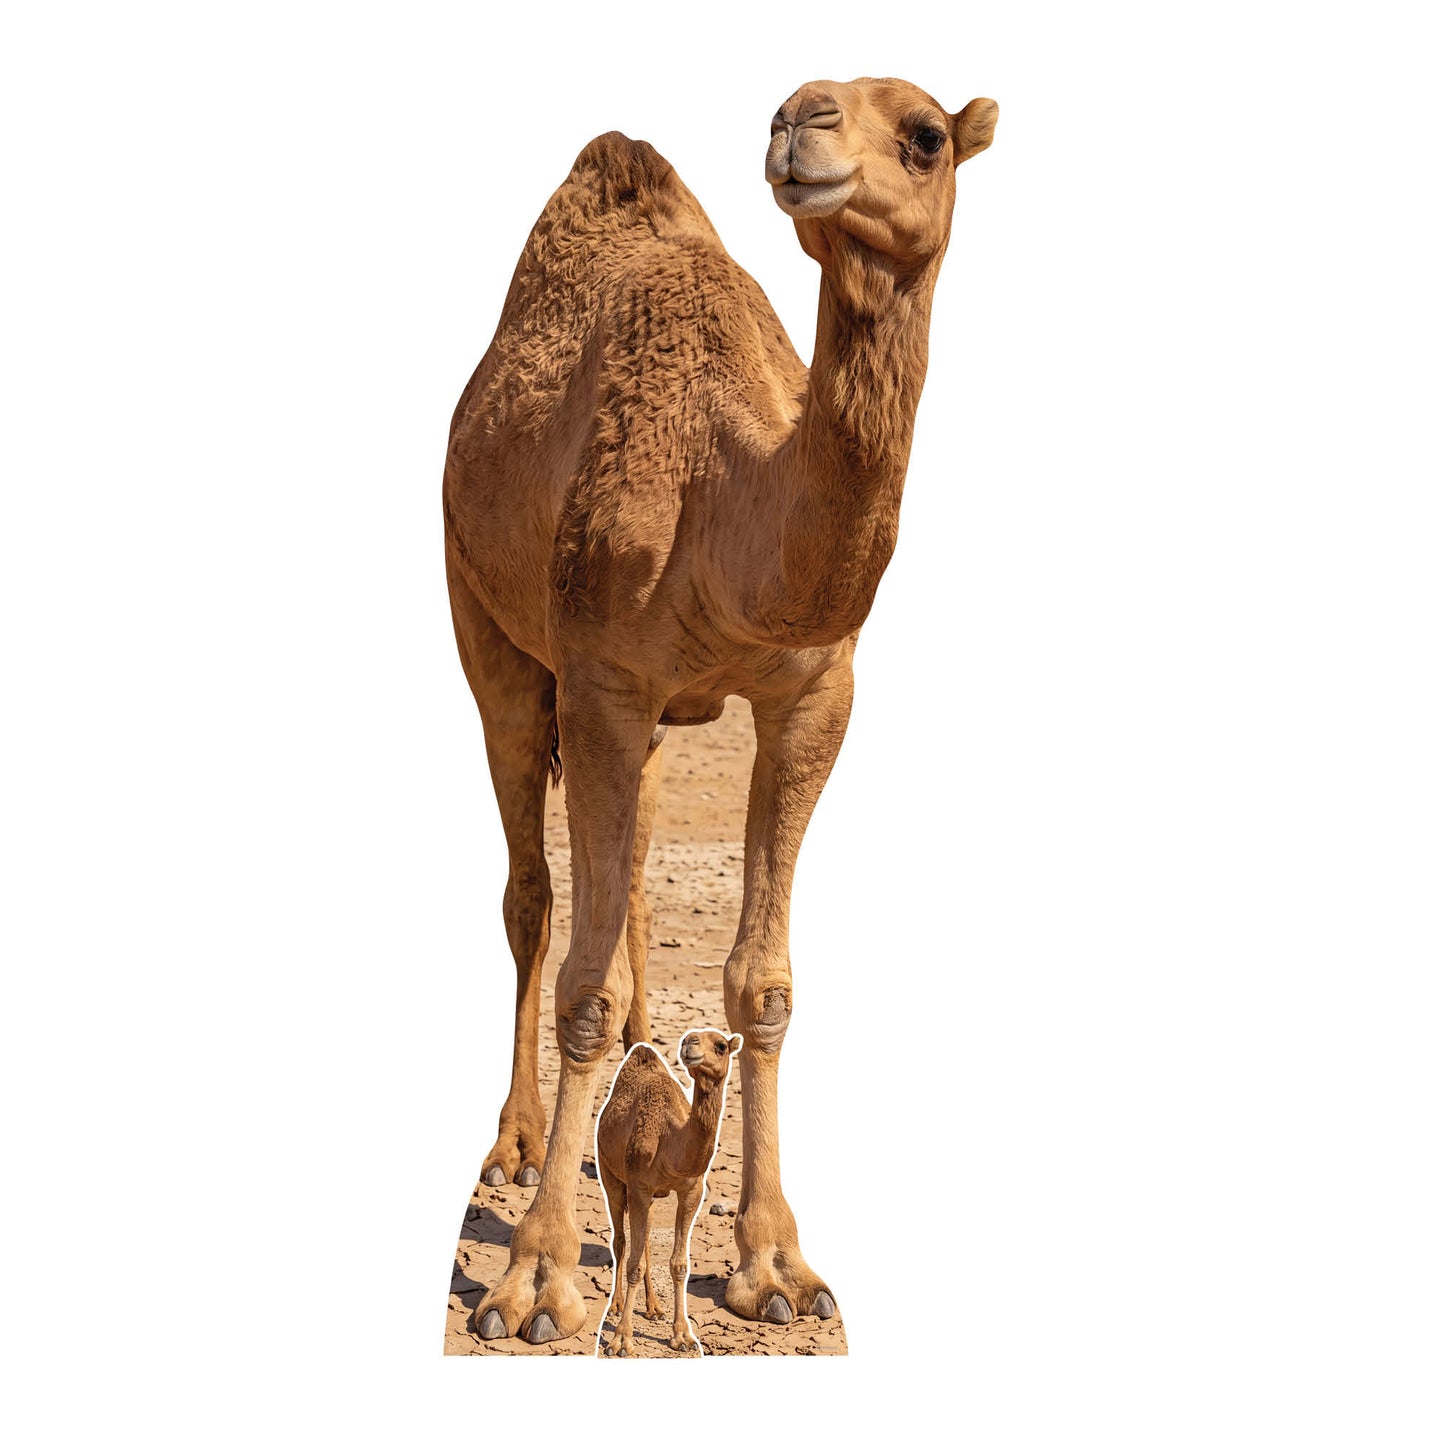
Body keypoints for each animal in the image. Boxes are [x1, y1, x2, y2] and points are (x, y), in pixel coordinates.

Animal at [595, 1030, 741, 1356]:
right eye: (691, 1038)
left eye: (721, 1046)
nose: (689, 1043)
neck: (670, 1141)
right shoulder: (638, 1185)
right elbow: (633, 1263)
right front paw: (621, 1340)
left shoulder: (691, 1190)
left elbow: (679, 1264)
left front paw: (682, 1336)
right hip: (610, 1173)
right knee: (621, 1241)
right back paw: (616, 1305)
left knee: (644, 1242)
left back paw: (654, 1308)